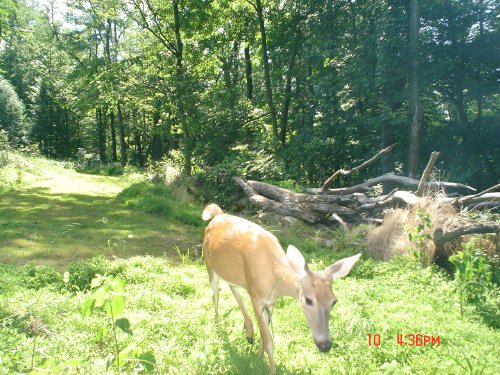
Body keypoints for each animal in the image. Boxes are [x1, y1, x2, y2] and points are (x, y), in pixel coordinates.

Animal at [201, 204, 362, 374]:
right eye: (308, 300)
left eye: (334, 302)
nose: (325, 345)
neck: (275, 278)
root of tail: (217, 215)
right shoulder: (256, 297)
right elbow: (269, 340)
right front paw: (271, 369)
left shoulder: (271, 301)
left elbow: (264, 335)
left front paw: (259, 357)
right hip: (209, 264)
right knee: (215, 295)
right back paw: (218, 329)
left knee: (232, 286)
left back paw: (249, 332)